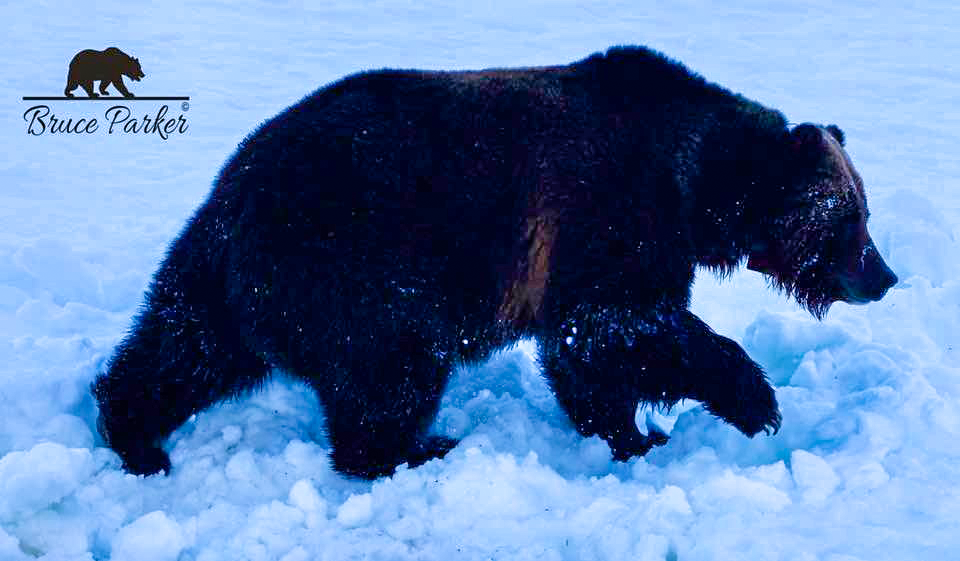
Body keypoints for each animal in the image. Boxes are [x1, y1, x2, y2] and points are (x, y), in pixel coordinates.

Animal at [92, 45, 897, 479]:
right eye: (851, 216)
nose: (885, 276)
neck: (698, 185)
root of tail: (238, 186)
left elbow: (586, 353)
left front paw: (632, 434)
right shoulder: (610, 210)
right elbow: (619, 324)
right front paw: (754, 400)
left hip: (226, 274)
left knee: (184, 346)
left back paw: (133, 432)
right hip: (363, 261)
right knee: (392, 369)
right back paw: (419, 447)